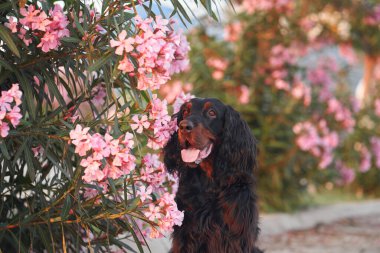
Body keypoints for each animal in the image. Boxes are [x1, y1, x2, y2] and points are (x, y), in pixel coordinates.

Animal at [163, 98, 262, 252]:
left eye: (211, 113)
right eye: (185, 111)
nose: (184, 126)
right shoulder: (185, 235)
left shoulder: (235, 237)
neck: (210, 183)